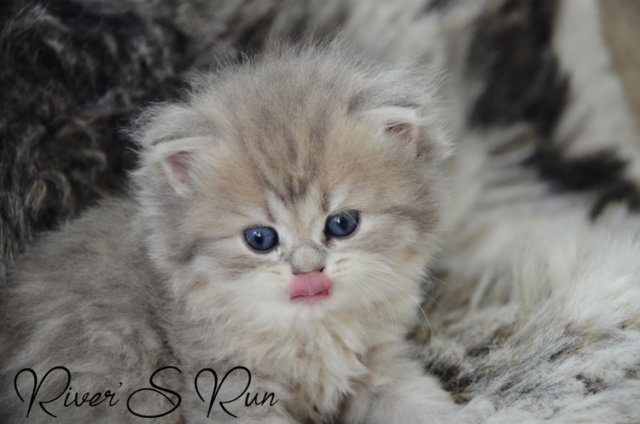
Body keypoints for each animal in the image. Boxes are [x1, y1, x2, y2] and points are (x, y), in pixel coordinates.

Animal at [0, 44, 488, 423]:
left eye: (342, 224)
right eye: (260, 240)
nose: (309, 271)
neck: (309, 333)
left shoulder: (378, 366)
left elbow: (420, 403)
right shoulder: (229, 388)